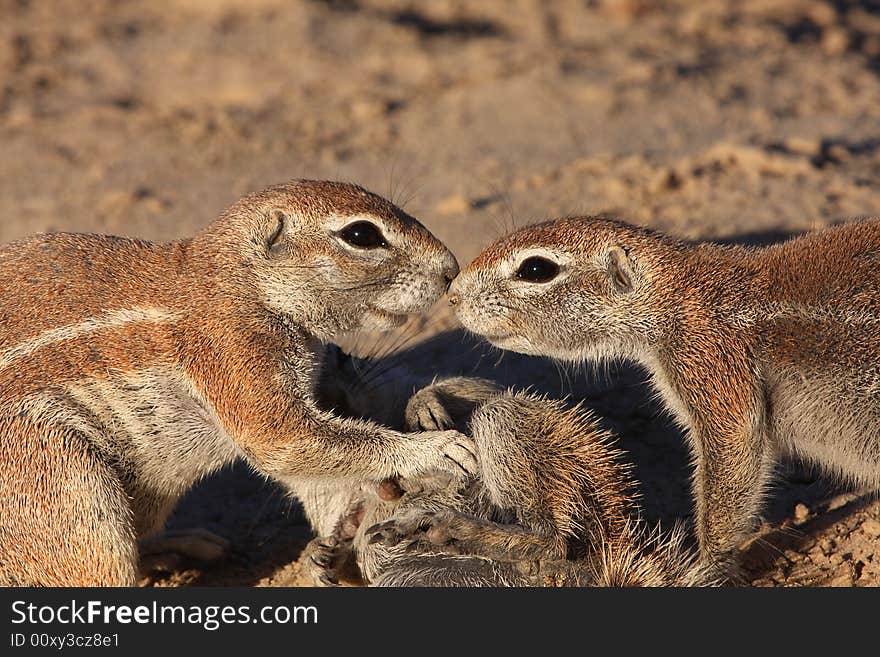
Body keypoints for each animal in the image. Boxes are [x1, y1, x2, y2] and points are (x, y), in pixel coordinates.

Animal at [0, 178, 474, 584]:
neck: (241, 284)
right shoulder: (236, 351)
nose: (452, 268)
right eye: (361, 235)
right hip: (66, 484)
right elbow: (287, 440)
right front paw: (437, 449)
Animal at [446, 217, 880, 576]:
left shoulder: (708, 361)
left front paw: (708, 566)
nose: (452, 296)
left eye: (536, 269)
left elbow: (732, 450)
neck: (679, 297)